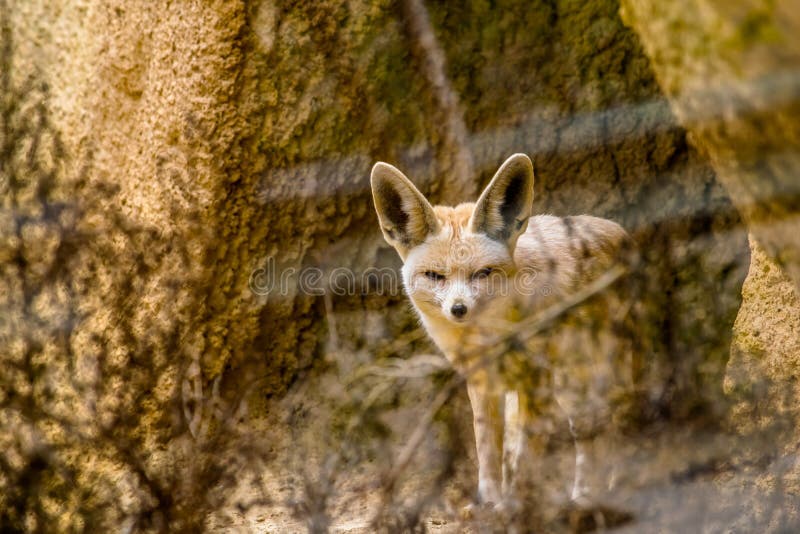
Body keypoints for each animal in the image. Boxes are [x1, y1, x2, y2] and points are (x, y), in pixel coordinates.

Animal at [370, 153, 632, 513]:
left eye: (483, 273)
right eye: (435, 276)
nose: (459, 309)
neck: (489, 338)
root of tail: (618, 230)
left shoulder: (535, 382)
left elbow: (525, 455)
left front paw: (513, 505)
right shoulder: (482, 384)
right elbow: (488, 450)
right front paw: (489, 501)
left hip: (576, 385)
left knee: (604, 432)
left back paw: (595, 493)